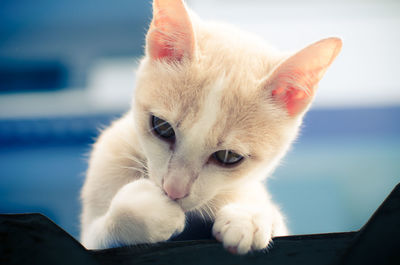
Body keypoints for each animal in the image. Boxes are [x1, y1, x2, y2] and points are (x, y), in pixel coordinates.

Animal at [79, 0, 342, 254]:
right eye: (162, 127)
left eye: (229, 157)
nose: (173, 191)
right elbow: (99, 234)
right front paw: (148, 209)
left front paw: (250, 215)